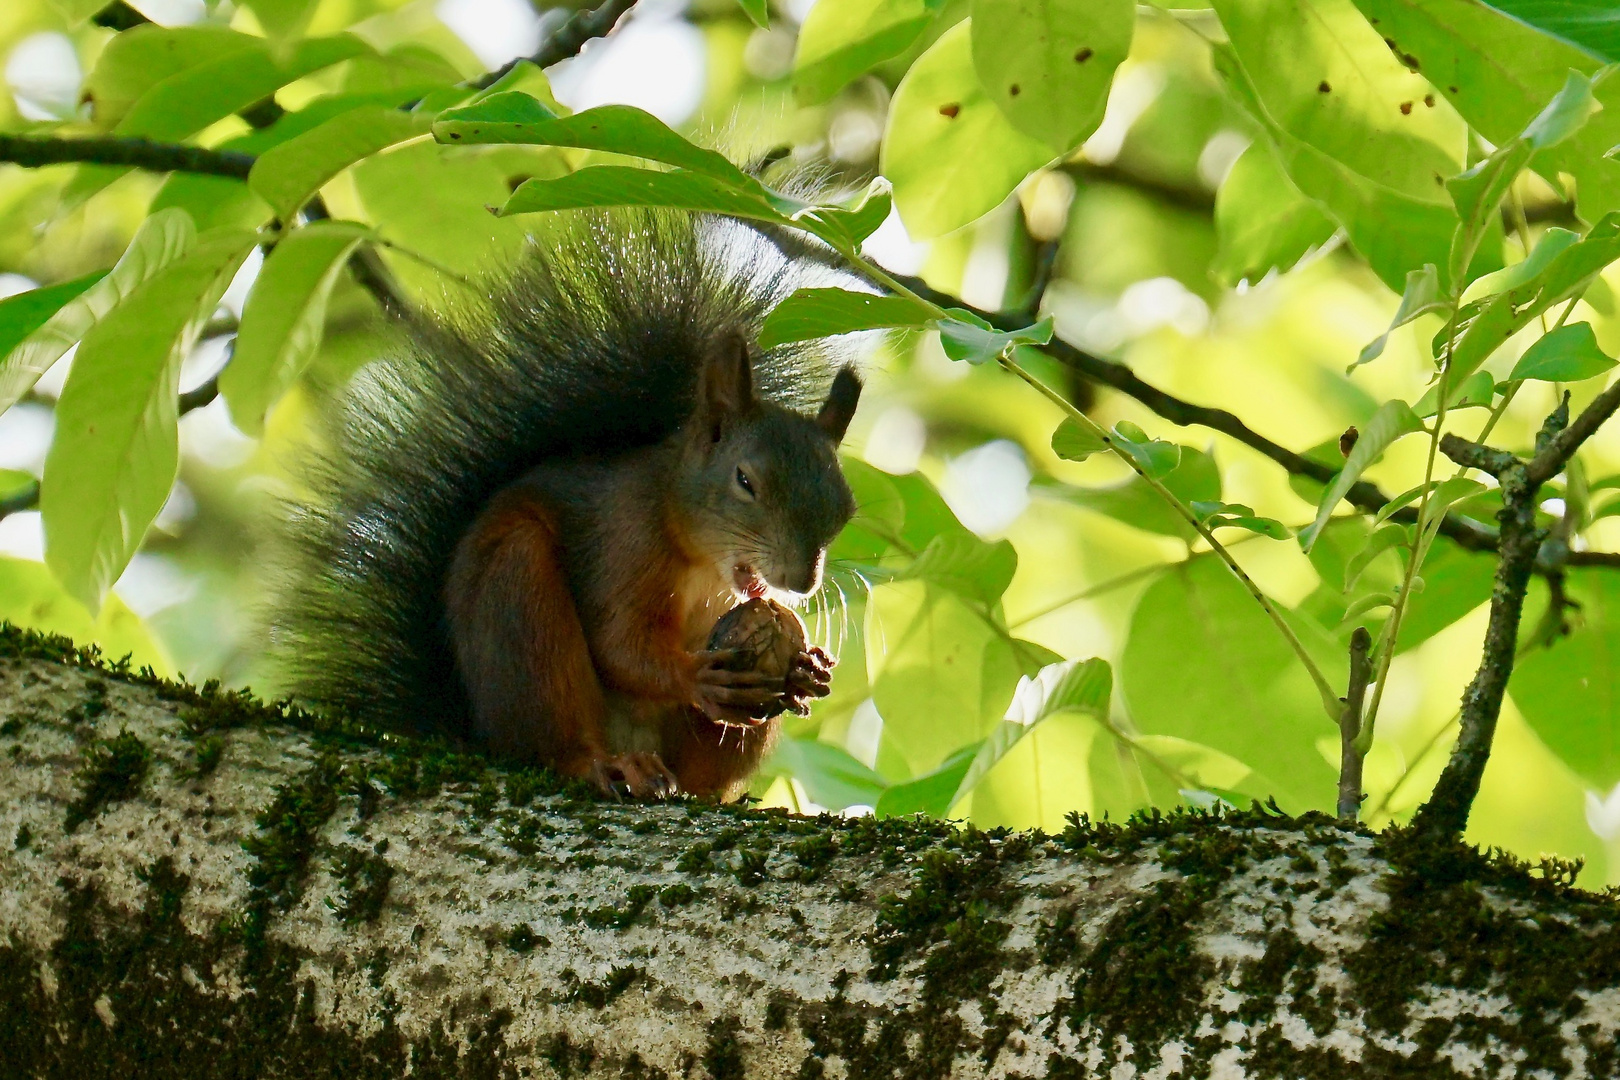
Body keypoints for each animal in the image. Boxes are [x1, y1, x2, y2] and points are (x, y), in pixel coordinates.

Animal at [272, 208, 868, 803]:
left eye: (846, 508)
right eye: (745, 480)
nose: (802, 581)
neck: (702, 563)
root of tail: (478, 731)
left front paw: (808, 664)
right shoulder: (623, 539)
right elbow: (619, 644)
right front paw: (694, 676)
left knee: (704, 774)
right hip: (519, 609)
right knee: (555, 736)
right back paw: (606, 765)